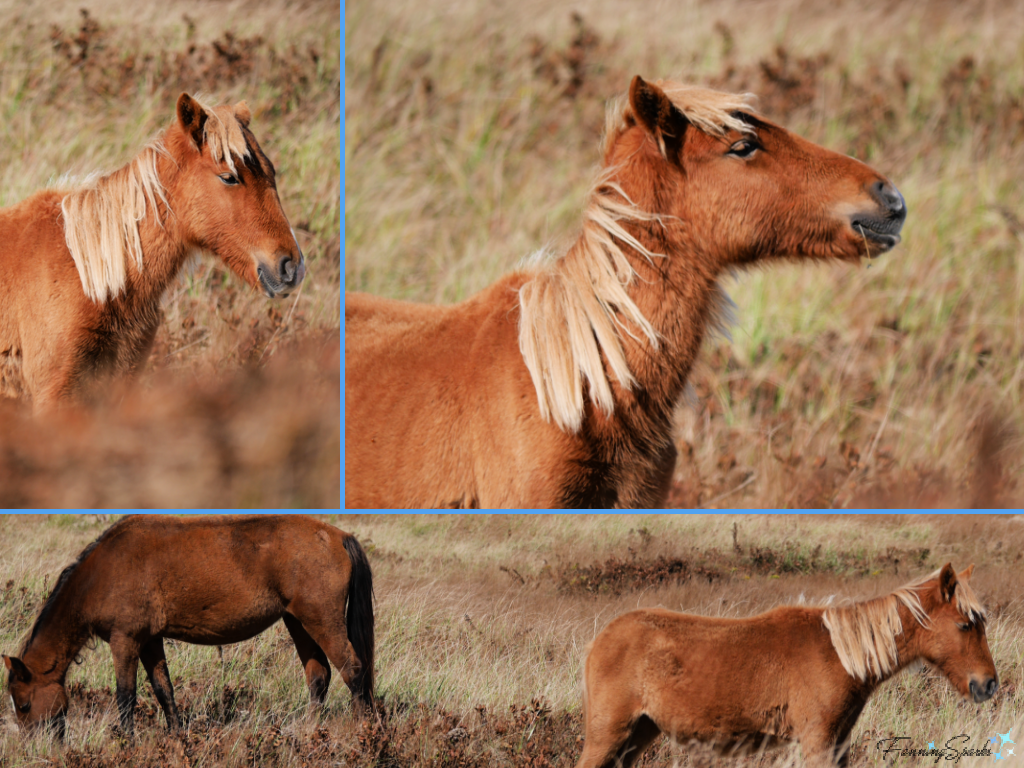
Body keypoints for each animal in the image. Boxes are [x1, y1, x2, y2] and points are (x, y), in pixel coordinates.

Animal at [4, 514, 372, 741]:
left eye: (23, 705)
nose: (36, 747)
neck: (103, 572)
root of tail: (339, 536)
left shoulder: (125, 640)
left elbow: (125, 695)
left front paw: (128, 742)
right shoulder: (150, 640)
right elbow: (163, 689)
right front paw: (176, 735)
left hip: (321, 620)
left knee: (353, 669)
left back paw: (364, 730)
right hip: (298, 622)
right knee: (319, 676)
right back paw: (311, 731)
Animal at [577, 561, 999, 765]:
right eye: (965, 624)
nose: (988, 684)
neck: (839, 654)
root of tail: (601, 638)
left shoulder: (838, 742)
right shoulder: (817, 741)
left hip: (639, 733)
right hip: (607, 735)